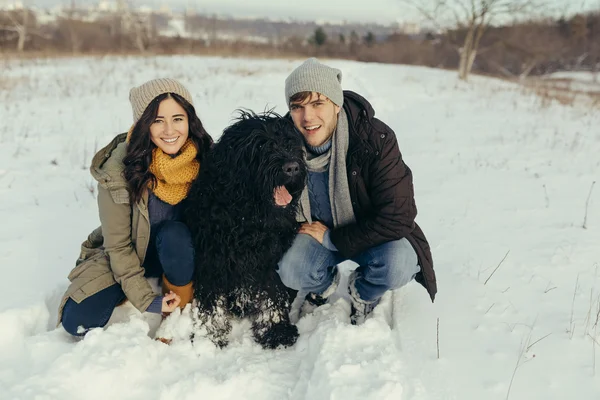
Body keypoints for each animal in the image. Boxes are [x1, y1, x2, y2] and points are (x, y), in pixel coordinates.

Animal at [185, 111, 308, 348]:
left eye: (289, 142)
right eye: (259, 145)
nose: (292, 167)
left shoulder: (268, 260)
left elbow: (273, 294)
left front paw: (277, 331)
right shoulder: (212, 260)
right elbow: (211, 303)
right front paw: (209, 338)